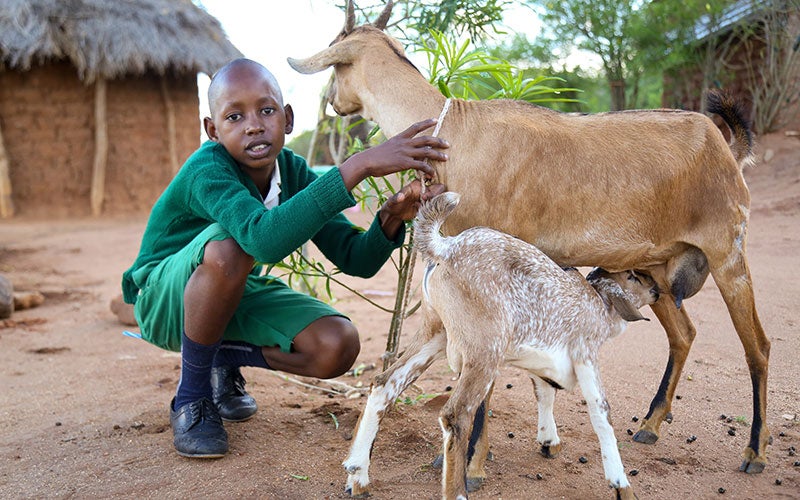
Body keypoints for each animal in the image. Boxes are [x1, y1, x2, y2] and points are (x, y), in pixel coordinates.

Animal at [344, 191, 659, 499]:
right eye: (632, 275)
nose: (657, 289)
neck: (598, 303)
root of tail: (446, 246)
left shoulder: (539, 357)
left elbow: (544, 390)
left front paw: (549, 440)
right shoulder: (586, 354)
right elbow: (601, 413)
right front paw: (621, 485)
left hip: (435, 333)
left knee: (384, 384)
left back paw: (358, 477)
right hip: (484, 351)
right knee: (456, 414)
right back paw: (457, 491)